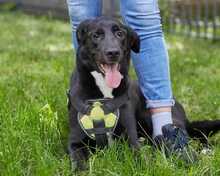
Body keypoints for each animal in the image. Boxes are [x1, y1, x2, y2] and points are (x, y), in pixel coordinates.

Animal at [68, 16, 220, 169]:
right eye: (96, 35)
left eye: (120, 34)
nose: (113, 52)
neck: (103, 91)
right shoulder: (75, 143)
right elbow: (78, 163)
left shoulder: (130, 139)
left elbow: (138, 157)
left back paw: (204, 150)